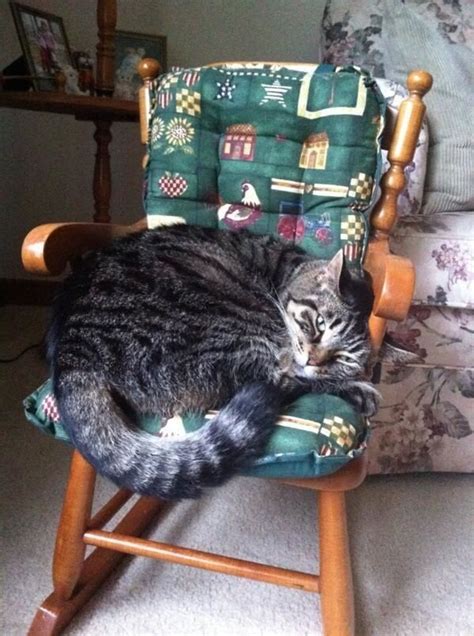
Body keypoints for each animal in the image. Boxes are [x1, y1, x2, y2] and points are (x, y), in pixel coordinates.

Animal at [48, 226, 380, 500]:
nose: (314, 360)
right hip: (237, 330)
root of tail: (73, 351)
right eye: (319, 324)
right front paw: (355, 386)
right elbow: (306, 377)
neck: (290, 270)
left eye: (341, 358)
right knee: (277, 382)